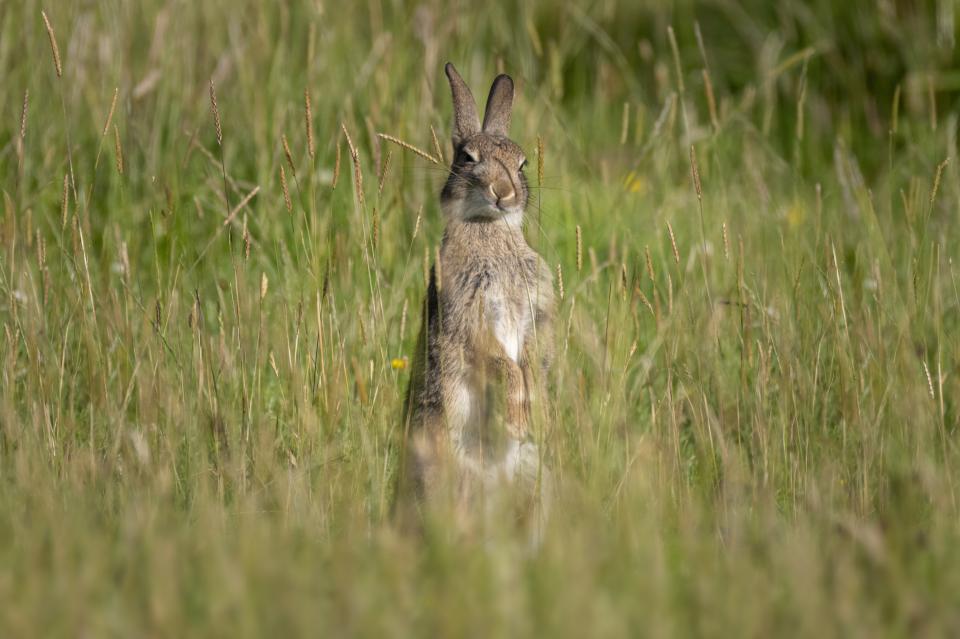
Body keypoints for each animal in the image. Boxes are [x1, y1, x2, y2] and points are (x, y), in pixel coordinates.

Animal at [396, 62, 556, 536]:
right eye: (468, 158)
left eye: (522, 162)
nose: (504, 192)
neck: (489, 227)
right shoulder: (469, 313)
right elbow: (499, 361)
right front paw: (516, 414)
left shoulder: (534, 314)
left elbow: (531, 359)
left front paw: (534, 413)